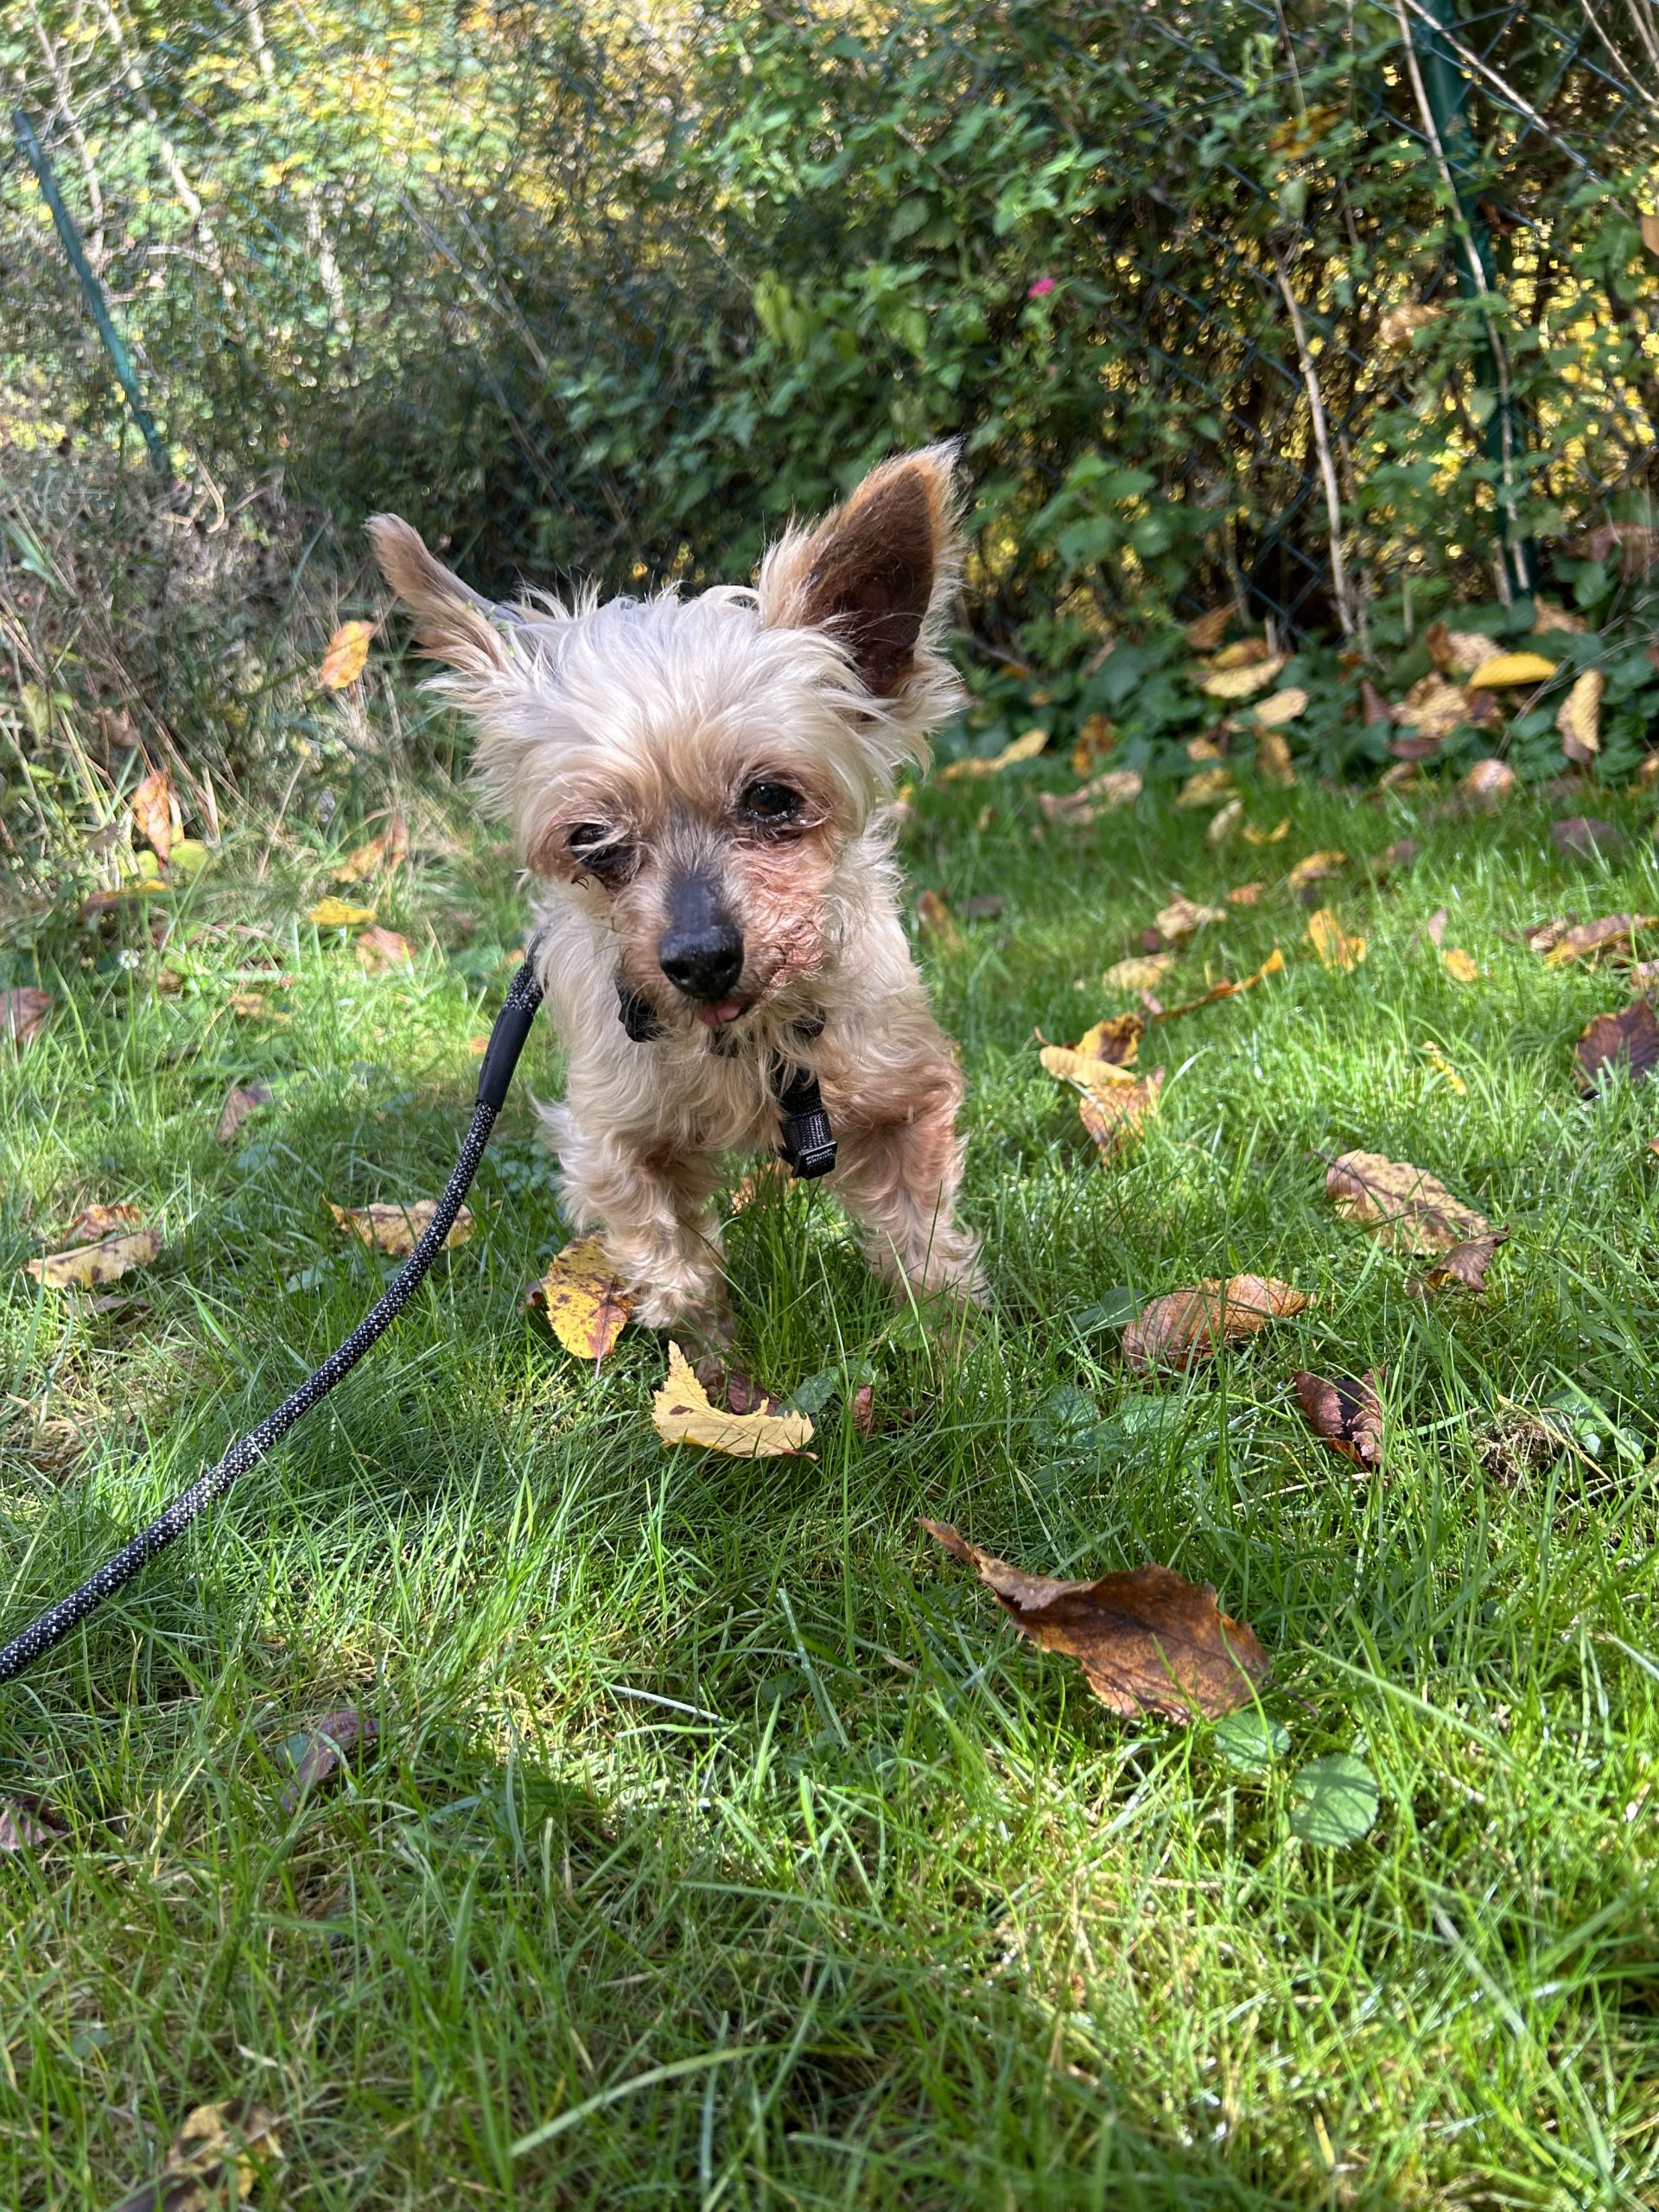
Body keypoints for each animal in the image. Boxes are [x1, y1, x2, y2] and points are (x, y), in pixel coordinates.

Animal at [369, 442, 983, 1347]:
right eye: (592, 840)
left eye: (772, 798)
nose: (699, 959)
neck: (748, 1045)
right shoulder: (613, 1142)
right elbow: (675, 1266)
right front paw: (716, 1368)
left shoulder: (902, 1095)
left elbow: (924, 1240)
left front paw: (956, 1349)